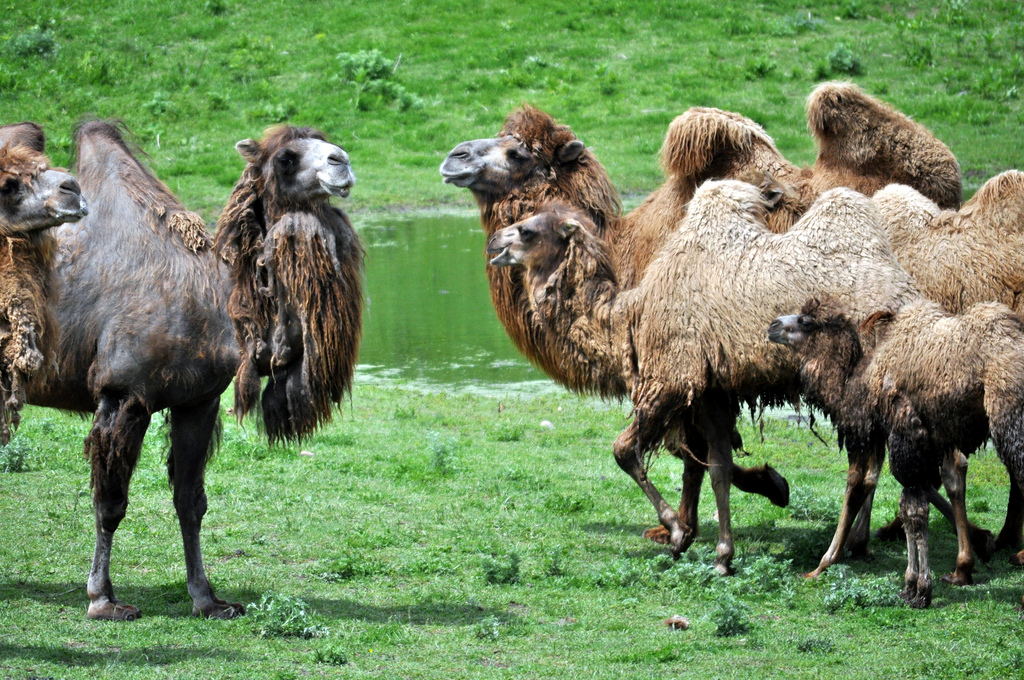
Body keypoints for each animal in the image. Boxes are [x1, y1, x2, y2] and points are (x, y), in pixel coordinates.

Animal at [26, 121, 362, 620]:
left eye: (325, 141)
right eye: (286, 158)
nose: (341, 162)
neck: (217, 300)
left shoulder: (197, 401)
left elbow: (191, 502)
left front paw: (208, 598)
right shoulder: (123, 394)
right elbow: (110, 503)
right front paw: (103, 599)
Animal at [486, 182, 917, 573]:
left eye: (527, 230)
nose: (492, 243)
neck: (632, 319)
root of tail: (905, 294)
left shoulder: (671, 377)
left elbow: (625, 450)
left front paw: (678, 533)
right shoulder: (710, 390)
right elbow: (718, 466)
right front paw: (725, 554)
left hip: (856, 382)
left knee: (861, 471)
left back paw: (832, 556)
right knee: (873, 465)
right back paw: (856, 545)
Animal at [769, 296, 1024, 607]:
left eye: (806, 321)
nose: (773, 325)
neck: (860, 384)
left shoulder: (903, 431)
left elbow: (911, 510)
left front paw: (918, 589)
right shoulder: (928, 439)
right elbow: (920, 496)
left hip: (1010, 416)